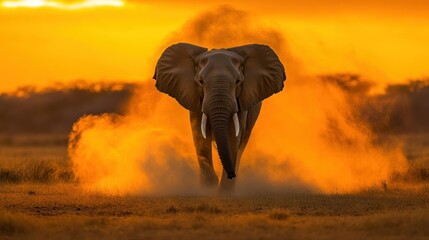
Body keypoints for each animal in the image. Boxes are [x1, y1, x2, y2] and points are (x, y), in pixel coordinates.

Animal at [152, 43, 286, 192]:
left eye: (238, 81)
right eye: (200, 81)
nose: (231, 175)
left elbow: (233, 137)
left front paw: (225, 191)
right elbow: (200, 137)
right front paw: (208, 189)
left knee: (242, 145)